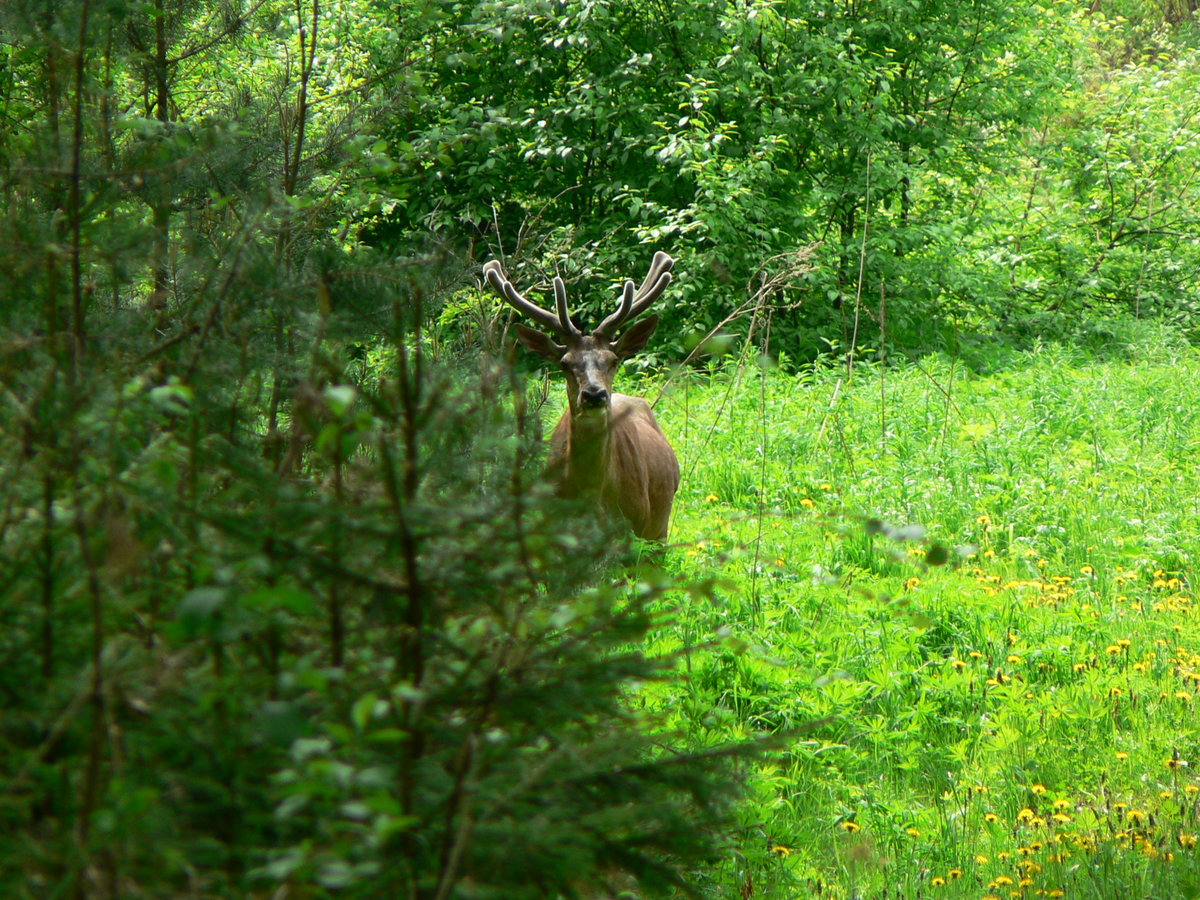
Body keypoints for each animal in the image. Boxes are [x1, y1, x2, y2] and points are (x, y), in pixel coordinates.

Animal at [483, 252, 681, 541]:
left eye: (613, 360)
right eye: (565, 363)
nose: (594, 394)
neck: (592, 494)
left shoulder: (635, 525)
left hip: (659, 527)